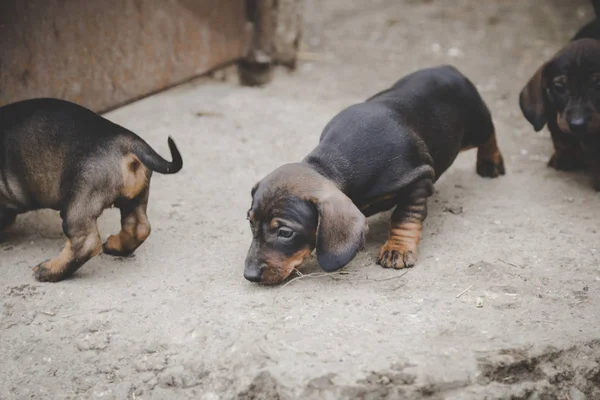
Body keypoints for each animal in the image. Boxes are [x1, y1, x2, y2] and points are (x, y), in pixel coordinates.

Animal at [0, 98, 183, 282]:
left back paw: (49, 269)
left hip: (78, 204)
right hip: (134, 198)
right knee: (138, 227)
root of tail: (127, 143)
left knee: (87, 242)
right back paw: (115, 246)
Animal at [245, 65, 506, 284]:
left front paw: (398, 248)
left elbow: (405, 216)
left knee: (490, 130)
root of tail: (448, 68)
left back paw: (490, 162)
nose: (250, 275)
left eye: (285, 232)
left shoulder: (418, 179)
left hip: (474, 128)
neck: (336, 160)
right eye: (250, 222)